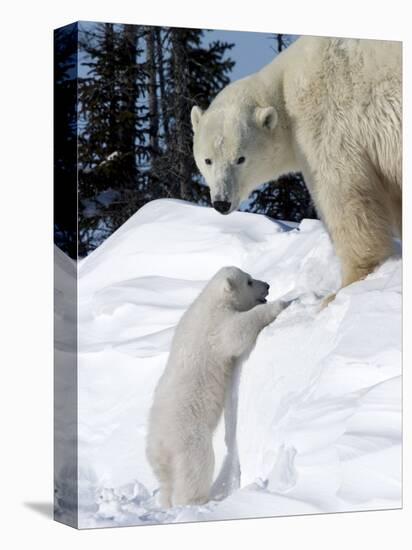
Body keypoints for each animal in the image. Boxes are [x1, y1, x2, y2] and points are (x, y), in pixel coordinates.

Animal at [192, 36, 400, 302]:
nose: (221, 202)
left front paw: (345, 287)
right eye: (208, 160)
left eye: (240, 159)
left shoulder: (325, 121)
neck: (282, 86)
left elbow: (344, 193)